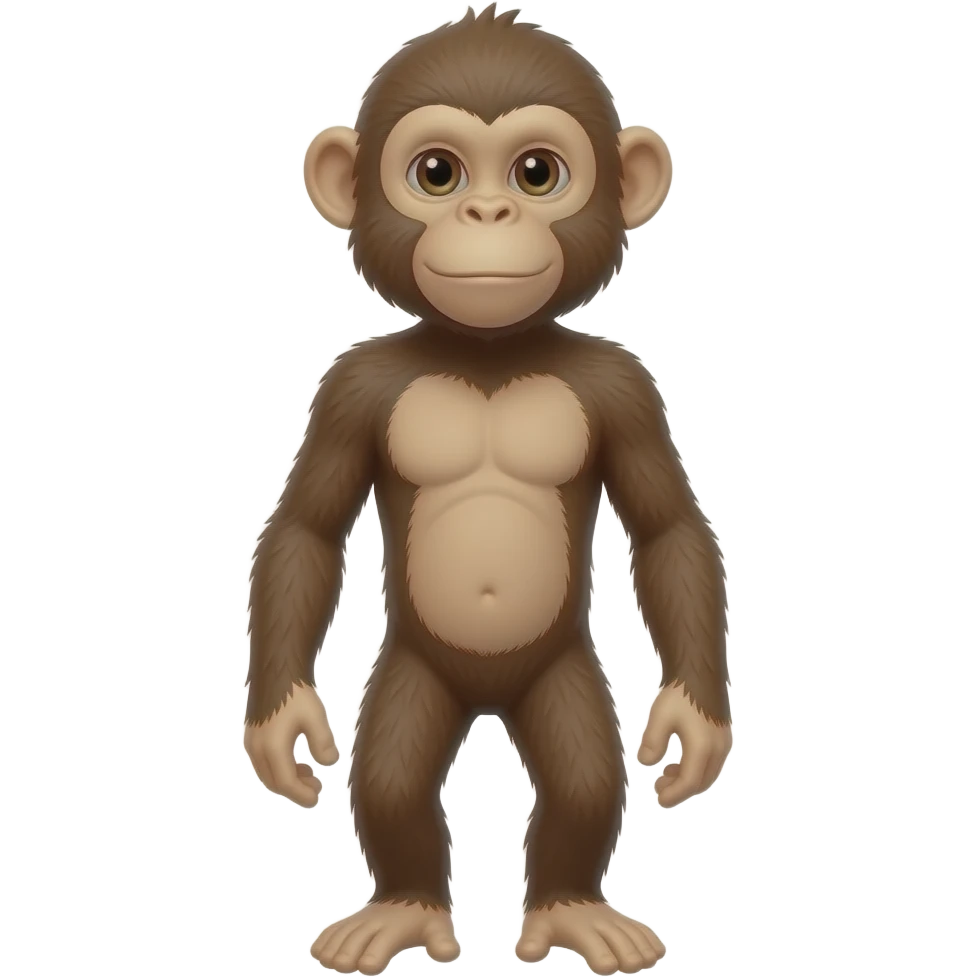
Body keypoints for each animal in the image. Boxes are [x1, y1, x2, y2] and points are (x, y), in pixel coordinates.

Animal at [243, 5, 733, 975]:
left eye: (536, 172)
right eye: (436, 172)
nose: (488, 209)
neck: (487, 353)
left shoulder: (626, 388)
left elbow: (667, 531)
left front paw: (694, 726)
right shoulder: (349, 388)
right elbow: (307, 531)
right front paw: (281, 726)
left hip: (558, 670)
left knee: (582, 773)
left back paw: (574, 908)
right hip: (415, 669)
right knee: (392, 773)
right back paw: (400, 908)